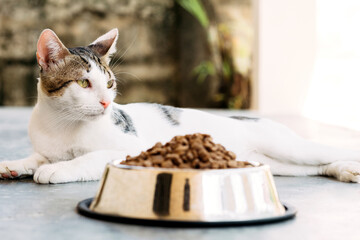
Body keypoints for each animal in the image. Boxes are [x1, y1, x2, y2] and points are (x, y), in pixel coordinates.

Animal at [0, 28, 360, 184]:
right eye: (84, 84)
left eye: (110, 84)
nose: (105, 102)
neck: (61, 123)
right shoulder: (46, 145)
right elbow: (36, 157)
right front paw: (15, 164)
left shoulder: (131, 150)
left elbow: (88, 158)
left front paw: (58, 169)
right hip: (279, 163)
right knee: (314, 167)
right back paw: (344, 170)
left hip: (290, 147)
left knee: (326, 151)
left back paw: (348, 164)